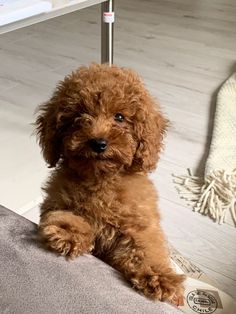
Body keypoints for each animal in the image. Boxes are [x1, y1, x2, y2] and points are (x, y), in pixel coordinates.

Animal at [36, 63, 185, 302]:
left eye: (120, 117)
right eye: (79, 116)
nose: (98, 143)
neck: (101, 178)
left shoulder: (139, 224)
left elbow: (146, 247)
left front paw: (161, 278)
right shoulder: (57, 201)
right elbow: (67, 215)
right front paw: (69, 232)